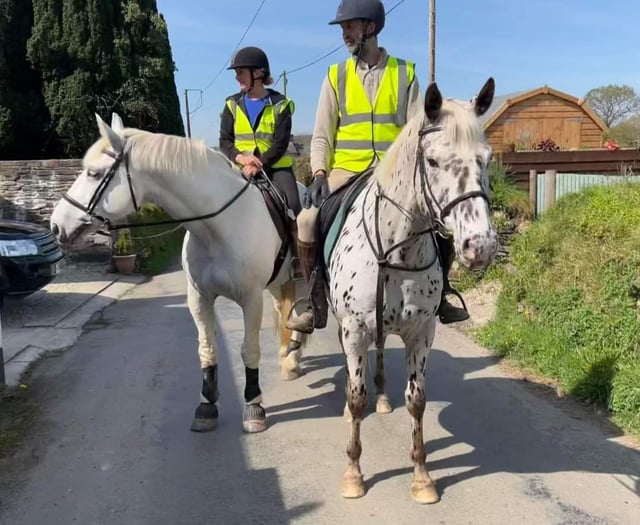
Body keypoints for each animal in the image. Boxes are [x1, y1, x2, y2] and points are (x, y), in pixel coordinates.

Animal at [49, 113, 308, 434]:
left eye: (94, 174)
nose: (56, 225)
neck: (218, 227)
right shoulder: (199, 298)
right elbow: (207, 349)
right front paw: (207, 405)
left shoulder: (250, 299)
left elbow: (249, 349)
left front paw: (253, 406)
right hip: (276, 282)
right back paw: (288, 358)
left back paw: (293, 359)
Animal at [321, 78, 498, 504]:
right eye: (432, 161)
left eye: (487, 159)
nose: (481, 247)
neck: (395, 249)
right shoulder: (354, 329)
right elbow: (357, 397)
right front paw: (353, 474)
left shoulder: (422, 332)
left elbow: (417, 402)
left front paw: (422, 477)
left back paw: (385, 399)